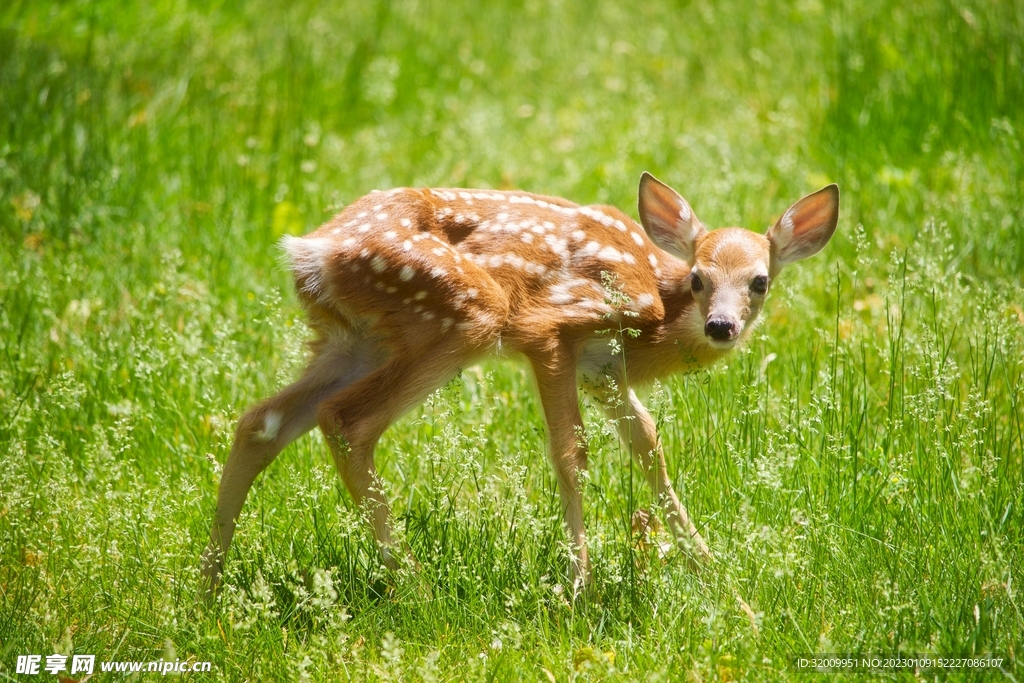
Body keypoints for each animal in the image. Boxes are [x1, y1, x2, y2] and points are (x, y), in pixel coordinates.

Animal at [195, 174, 835, 593]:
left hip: (356, 339)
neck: (655, 303)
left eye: (759, 281)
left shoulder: (603, 369)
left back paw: (208, 589)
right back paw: (415, 588)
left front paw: (719, 580)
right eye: (700, 278)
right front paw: (580, 590)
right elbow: (571, 451)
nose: (721, 326)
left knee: (262, 421)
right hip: (462, 314)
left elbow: (648, 446)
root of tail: (312, 250)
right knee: (347, 422)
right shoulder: (550, 330)